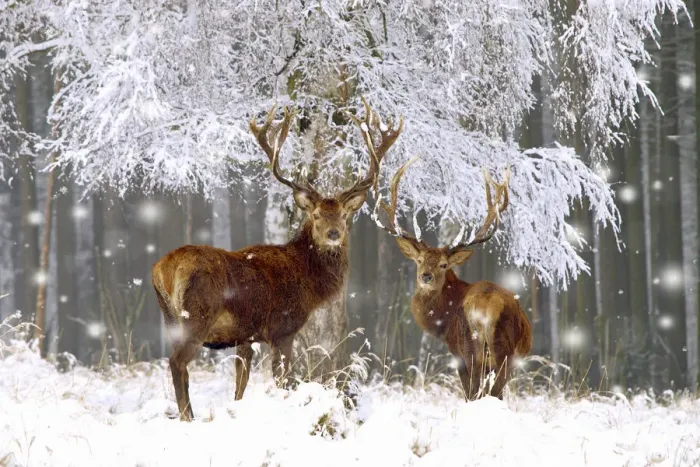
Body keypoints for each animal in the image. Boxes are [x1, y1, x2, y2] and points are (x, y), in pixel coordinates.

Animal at [152, 99, 403, 421]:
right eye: (316, 215)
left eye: (344, 215)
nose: (334, 233)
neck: (308, 283)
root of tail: (164, 269)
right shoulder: (283, 329)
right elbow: (284, 381)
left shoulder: (245, 338)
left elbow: (240, 386)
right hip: (196, 317)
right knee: (177, 362)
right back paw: (188, 417)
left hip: (170, 318)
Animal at [372, 157, 532, 401]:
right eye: (419, 260)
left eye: (444, 265)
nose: (426, 276)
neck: (442, 320)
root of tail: (488, 307)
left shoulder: (456, 352)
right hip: (500, 355)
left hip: (475, 350)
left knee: (480, 393)